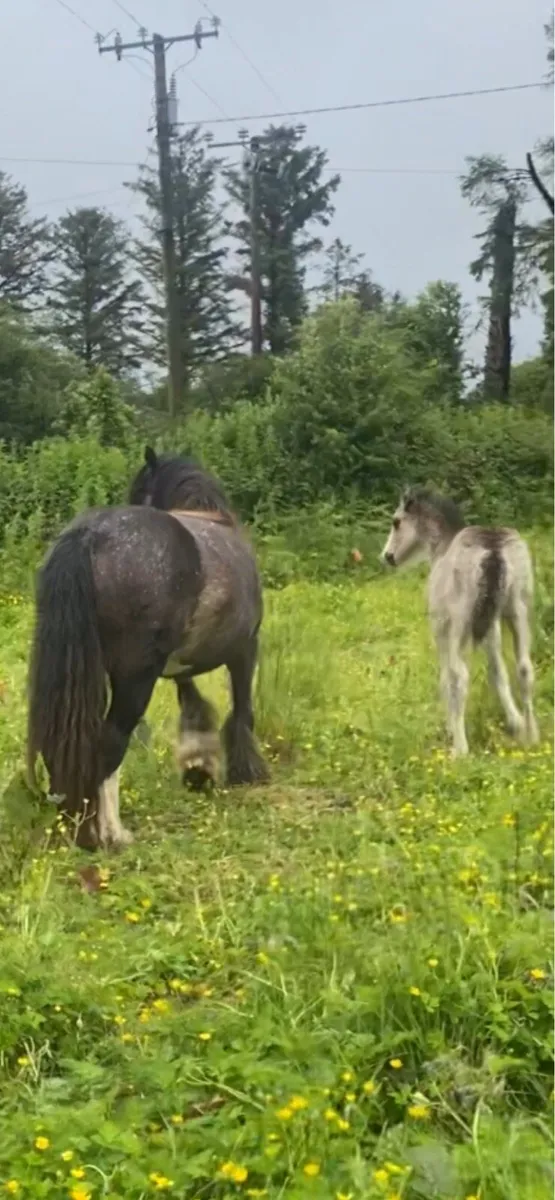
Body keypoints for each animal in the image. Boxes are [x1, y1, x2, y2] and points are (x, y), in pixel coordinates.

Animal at [27, 447, 269, 850]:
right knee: (108, 745)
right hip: (135, 680)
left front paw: (199, 768)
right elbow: (241, 712)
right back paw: (110, 834)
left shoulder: (179, 667)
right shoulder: (245, 650)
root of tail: (90, 536)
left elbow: (194, 707)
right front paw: (245, 771)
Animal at [380, 487, 539, 757]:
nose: (388, 556)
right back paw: (532, 734)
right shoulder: (491, 624)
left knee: (460, 675)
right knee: (524, 668)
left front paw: (450, 728)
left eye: (397, 521)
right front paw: (515, 722)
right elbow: (498, 670)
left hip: (459, 623)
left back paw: (460, 749)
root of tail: (493, 549)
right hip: (518, 609)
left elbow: (447, 678)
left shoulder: (441, 627)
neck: (442, 547)